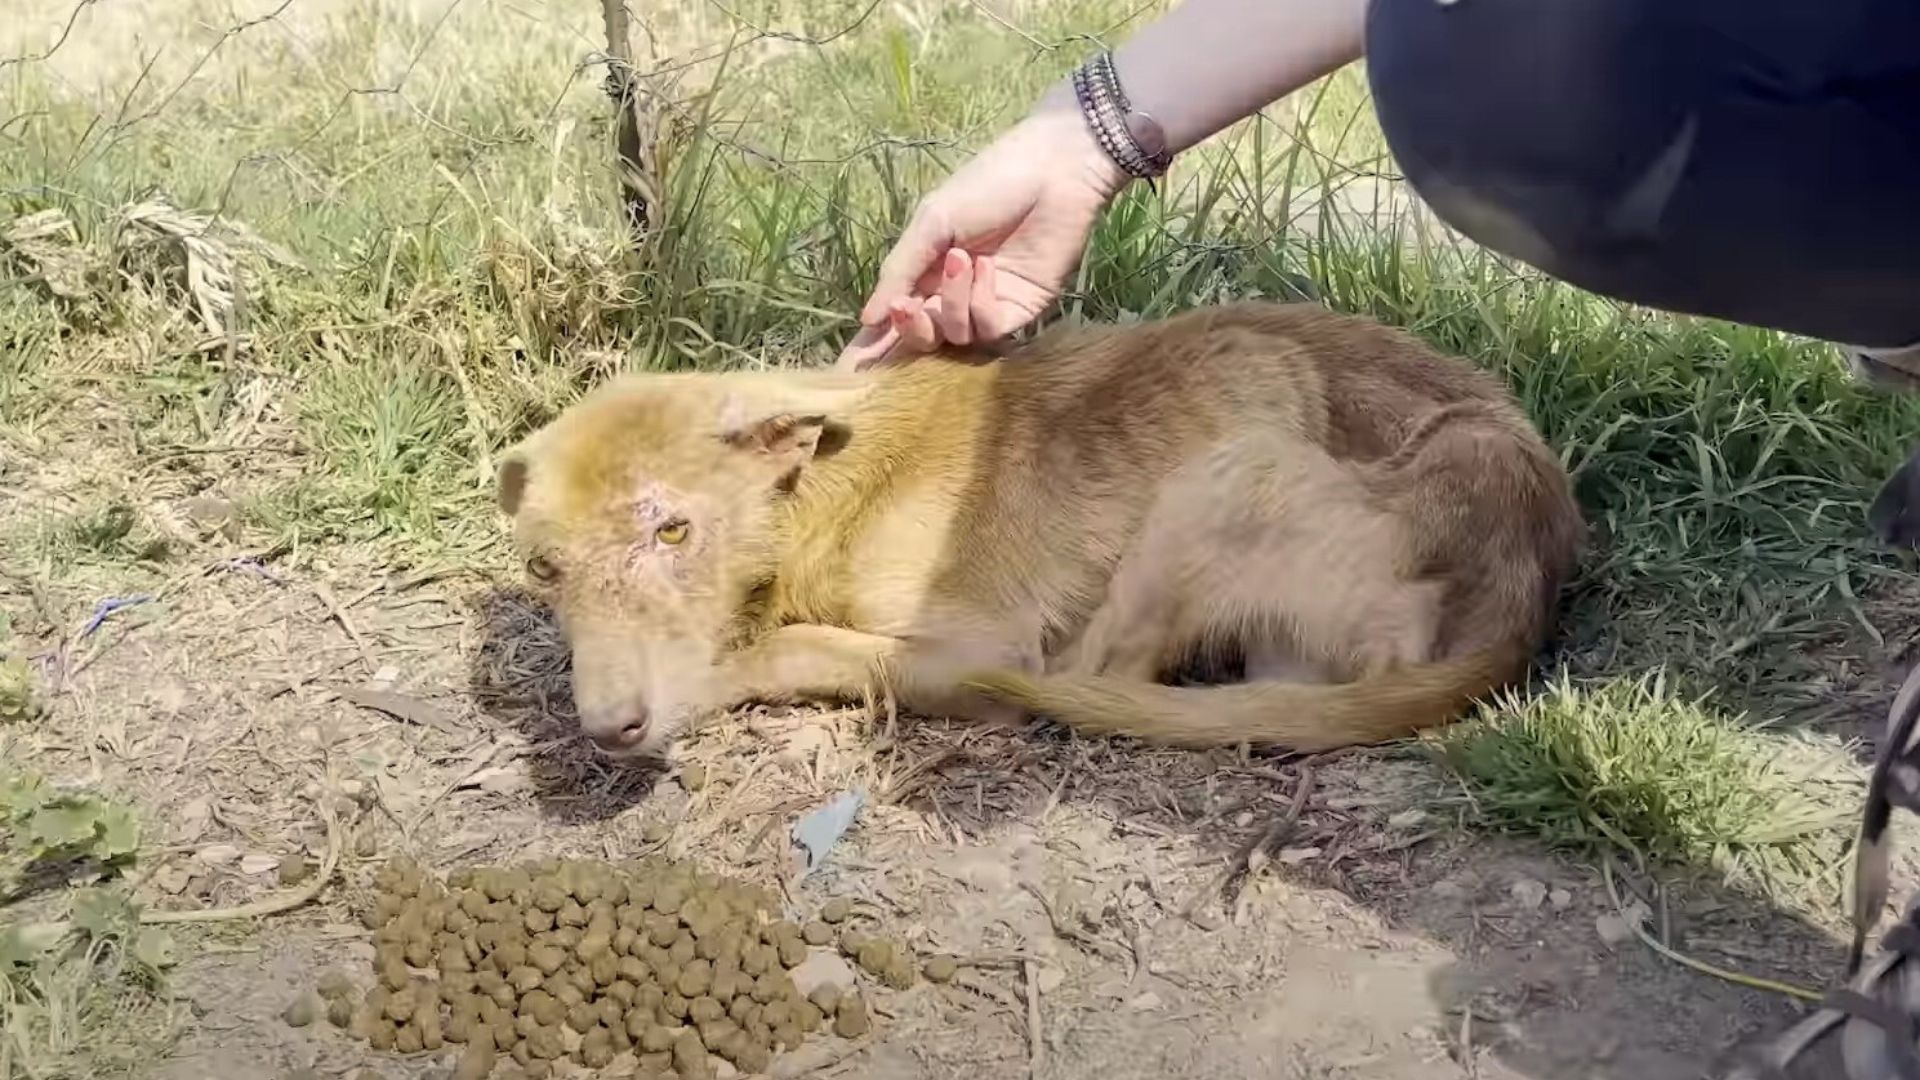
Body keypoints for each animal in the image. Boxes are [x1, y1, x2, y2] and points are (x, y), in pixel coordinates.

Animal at [499, 299, 1589, 757]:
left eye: (673, 532)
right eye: (545, 570)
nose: (607, 730)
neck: (826, 488)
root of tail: (1529, 563)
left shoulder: (974, 642)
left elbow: (793, 644)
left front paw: (726, 672)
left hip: (1225, 472)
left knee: (1102, 675)